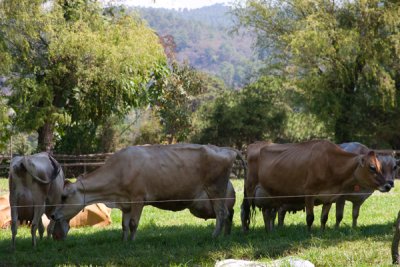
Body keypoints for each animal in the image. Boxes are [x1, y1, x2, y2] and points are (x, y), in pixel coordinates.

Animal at [50, 146, 244, 242]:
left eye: (64, 197)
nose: (52, 215)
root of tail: (227, 149)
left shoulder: (138, 199)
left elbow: (133, 223)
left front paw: (132, 242)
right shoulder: (126, 204)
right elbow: (124, 225)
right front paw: (124, 241)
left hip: (216, 190)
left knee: (222, 213)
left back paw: (215, 236)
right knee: (228, 214)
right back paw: (226, 235)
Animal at [242, 140, 390, 232]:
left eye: (380, 166)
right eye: (372, 167)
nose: (387, 185)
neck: (330, 163)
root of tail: (254, 145)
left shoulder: (330, 197)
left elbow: (324, 218)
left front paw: (322, 232)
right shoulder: (309, 193)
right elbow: (310, 218)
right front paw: (309, 233)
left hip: (269, 197)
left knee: (267, 213)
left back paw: (269, 231)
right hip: (249, 189)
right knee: (245, 210)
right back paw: (246, 231)